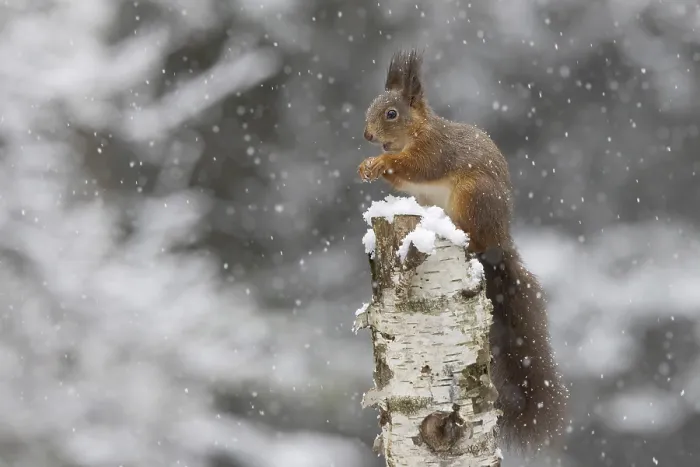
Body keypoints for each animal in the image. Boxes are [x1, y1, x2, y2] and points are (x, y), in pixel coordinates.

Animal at [358, 49, 567, 451]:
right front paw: (366, 165)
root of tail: (500, 239)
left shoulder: (435, 151)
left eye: (391, 113)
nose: (367, 136)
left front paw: (378, 163)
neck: (416, 133)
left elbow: (416, 166)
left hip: (473, 195)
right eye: (372, 107)